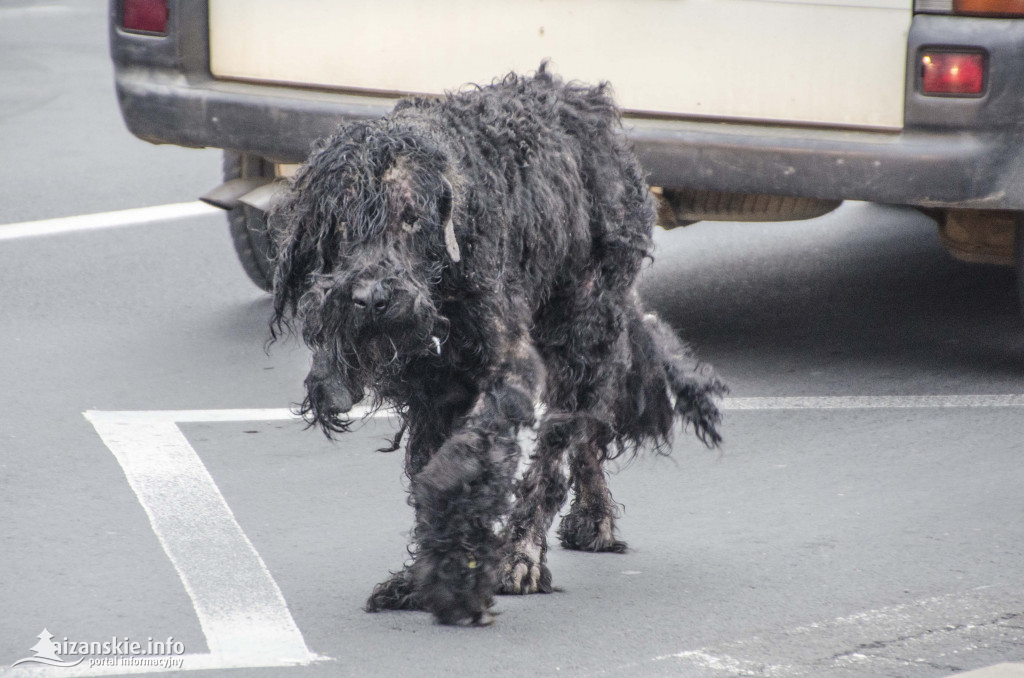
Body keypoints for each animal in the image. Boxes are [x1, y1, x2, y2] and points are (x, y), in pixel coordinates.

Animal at [268, 63, 724, 626]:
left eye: (411, 218)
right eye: (339, 225)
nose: (372, 299)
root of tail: (586, 103)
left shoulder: (506, 366)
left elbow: (464, 461)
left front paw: (458, 574)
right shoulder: (433, 392)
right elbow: (426, 465)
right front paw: (419, 576)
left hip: (585, 324)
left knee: (562, 439)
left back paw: (522, 555)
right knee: (587, 429)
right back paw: (592, 520)